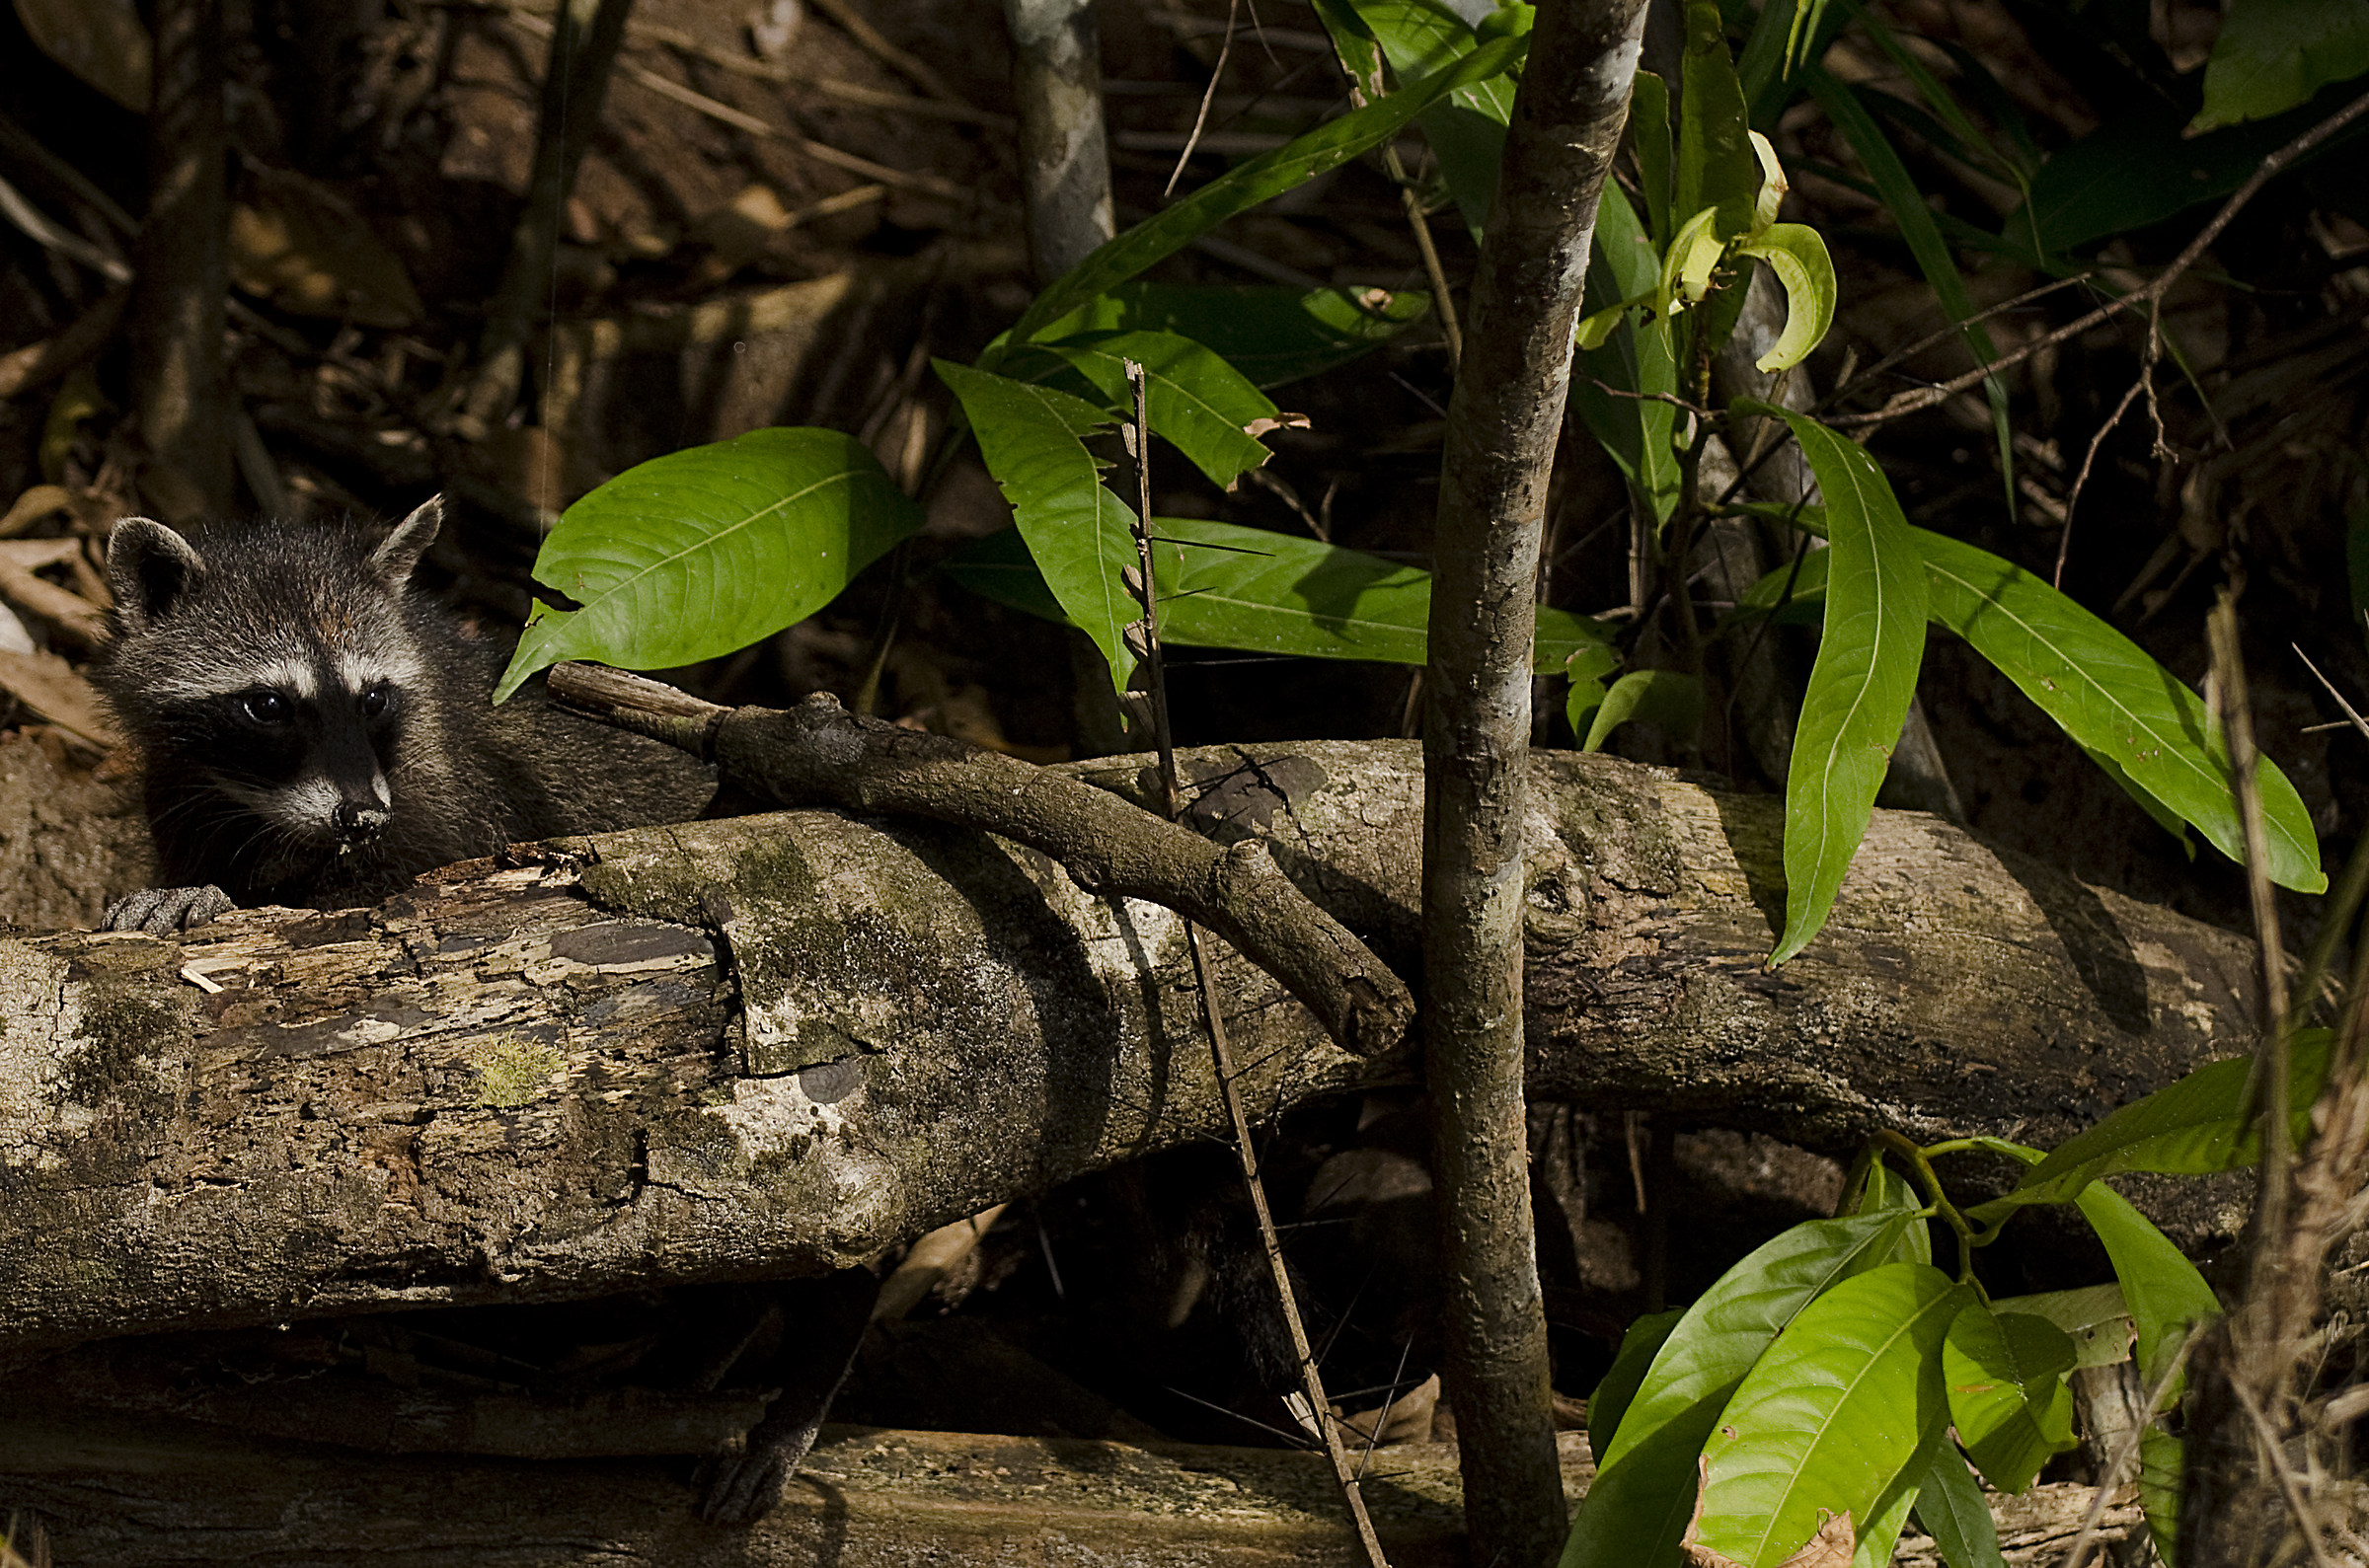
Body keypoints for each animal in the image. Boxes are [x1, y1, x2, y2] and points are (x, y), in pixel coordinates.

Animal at [92, 496, 715, 933]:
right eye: (268, 706)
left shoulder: (454, 798)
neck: (247, 798)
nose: (363, 819)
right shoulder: (180, 791)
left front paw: (226, 898)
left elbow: (367, 894)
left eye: (372, 700)